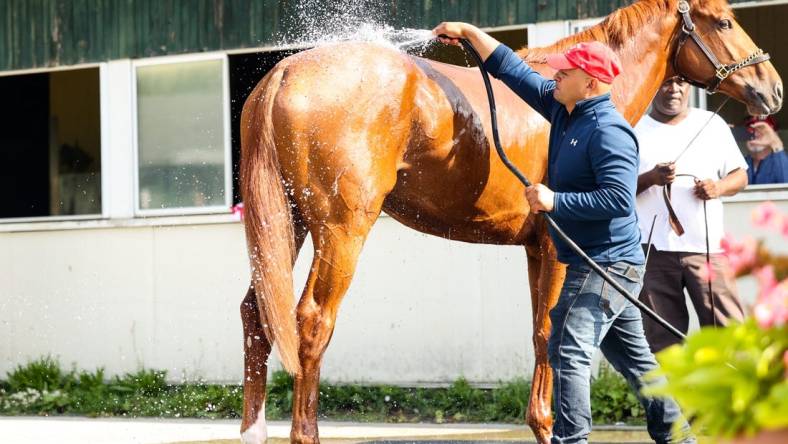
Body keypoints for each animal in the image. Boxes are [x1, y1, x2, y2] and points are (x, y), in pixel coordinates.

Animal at [239, 1, 780, 442]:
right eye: (724, 21)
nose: (772, 89)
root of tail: (284, 72)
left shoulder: (535, 248)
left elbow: (545, 331)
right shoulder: (557, 247)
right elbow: (548, 332)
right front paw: (549, 425)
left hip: (288, 224)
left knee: (256, 317)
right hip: (342, 230)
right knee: (312, 322)